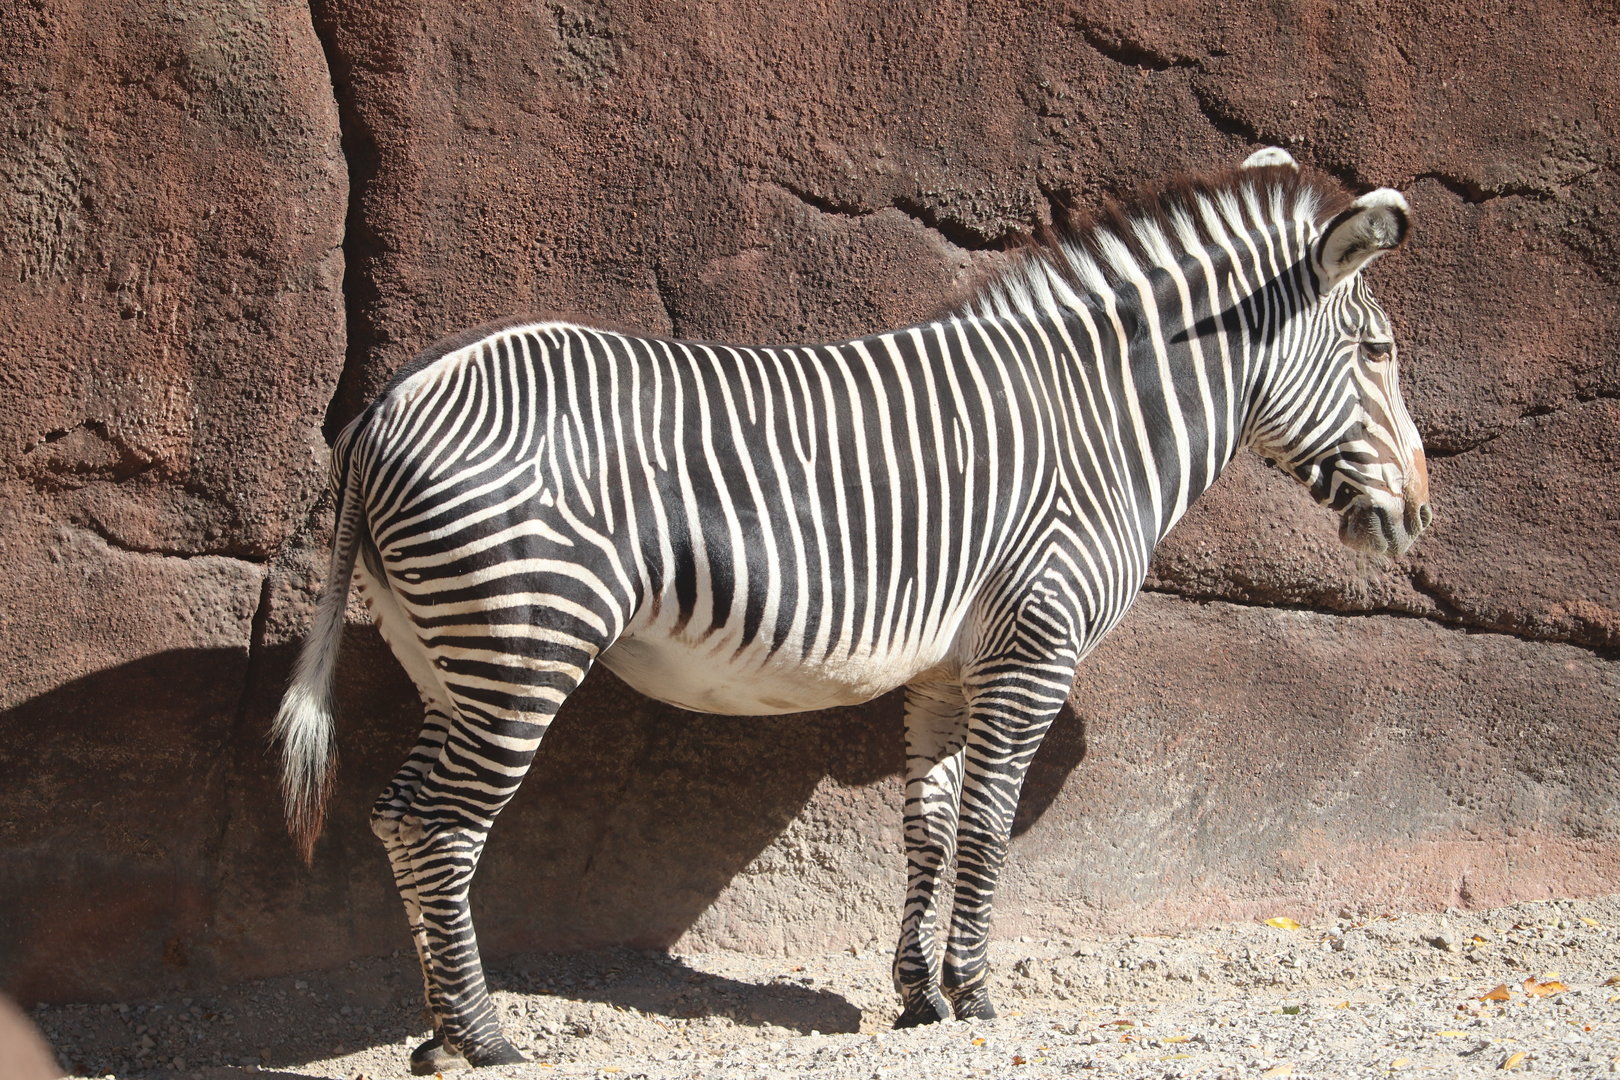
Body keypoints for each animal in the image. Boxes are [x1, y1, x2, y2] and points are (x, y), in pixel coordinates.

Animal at [274, 147, 1429, 1072]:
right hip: (524, 642)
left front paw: (917, 994)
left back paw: (437, 1034)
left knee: (398, 814)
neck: (1098, 423)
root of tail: (389, 402)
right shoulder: (1034, 644)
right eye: (1378, 353)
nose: (1419, 515)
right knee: (442, 826)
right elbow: (991, 821)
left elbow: (929, 822)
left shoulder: (949, 668)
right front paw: (975, 992)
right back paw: (486, 1039)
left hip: (450, 657)